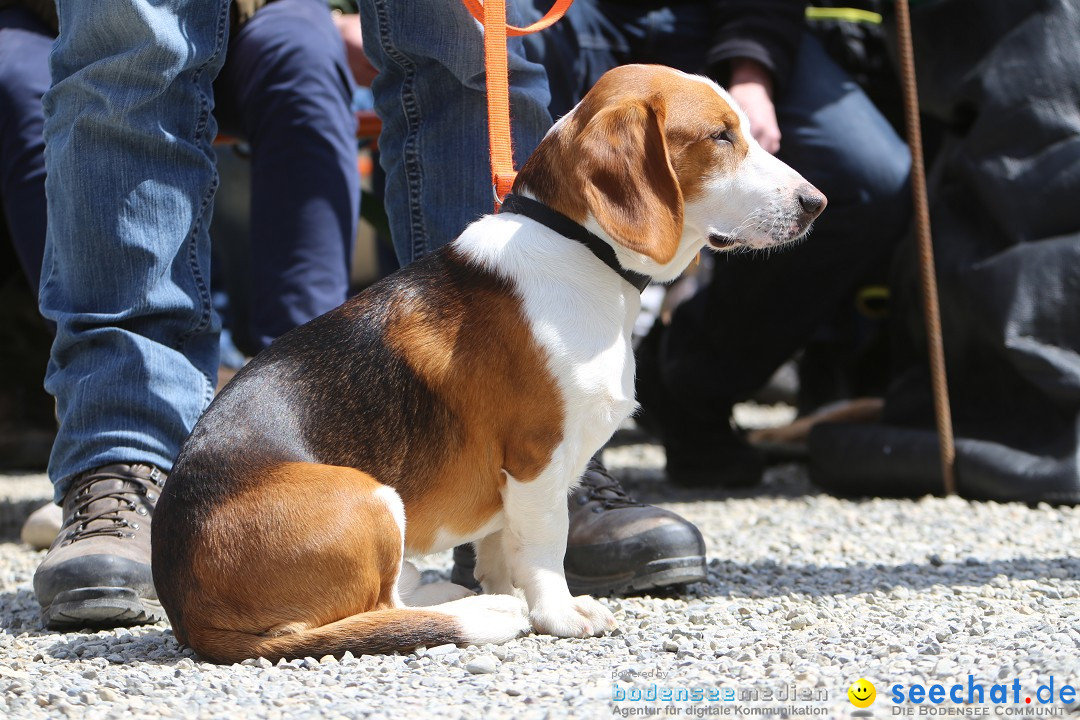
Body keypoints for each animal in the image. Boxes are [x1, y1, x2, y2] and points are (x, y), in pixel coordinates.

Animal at [152, 64, 825, 660]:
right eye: (720, 136)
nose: (816, 202)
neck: (579, 248)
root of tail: (189, 613)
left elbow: (503, 549)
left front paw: (513, 594)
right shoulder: (536, 457)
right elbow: (545, 545)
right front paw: (558, 614)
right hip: (370, 498)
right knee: (377, 611)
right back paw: (472, 611)